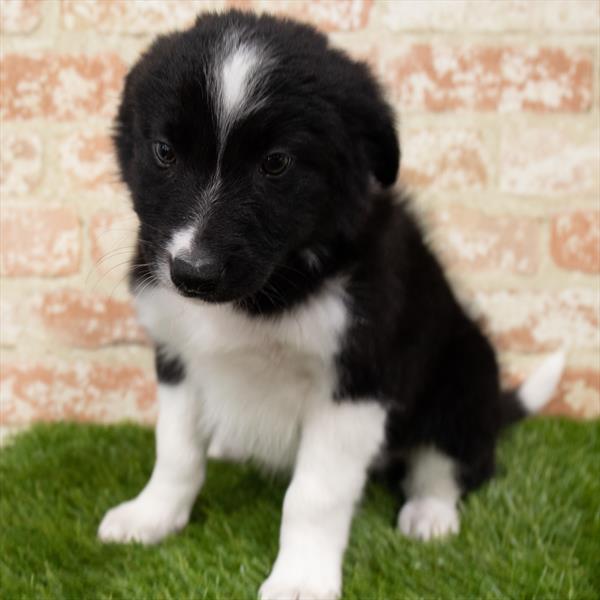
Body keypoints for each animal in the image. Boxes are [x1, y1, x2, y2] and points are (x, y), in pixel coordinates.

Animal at [97, 10, 564, 600]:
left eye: (276, 164)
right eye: (164, 151)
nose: (192, 274)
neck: (273, 284)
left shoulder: (357, 381)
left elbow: (313, 495)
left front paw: (300, 578)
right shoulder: (177, 354)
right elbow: (175, 451)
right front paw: (151, 517)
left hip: (466, 373)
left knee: (448, 459)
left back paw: (430, 513)